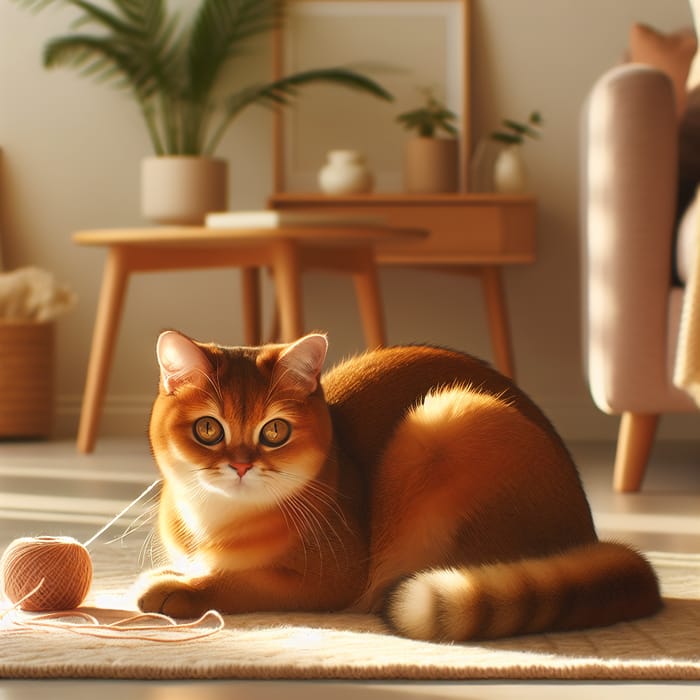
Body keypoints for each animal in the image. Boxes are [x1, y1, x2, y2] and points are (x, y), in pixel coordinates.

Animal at [138, 330, 660, 644]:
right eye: (209, 429)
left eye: (275, 431)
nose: (241, 465)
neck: (215, 523)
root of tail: (588, 539)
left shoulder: (329, 579)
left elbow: (238, 582)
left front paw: (174, 589)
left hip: (448, 418)